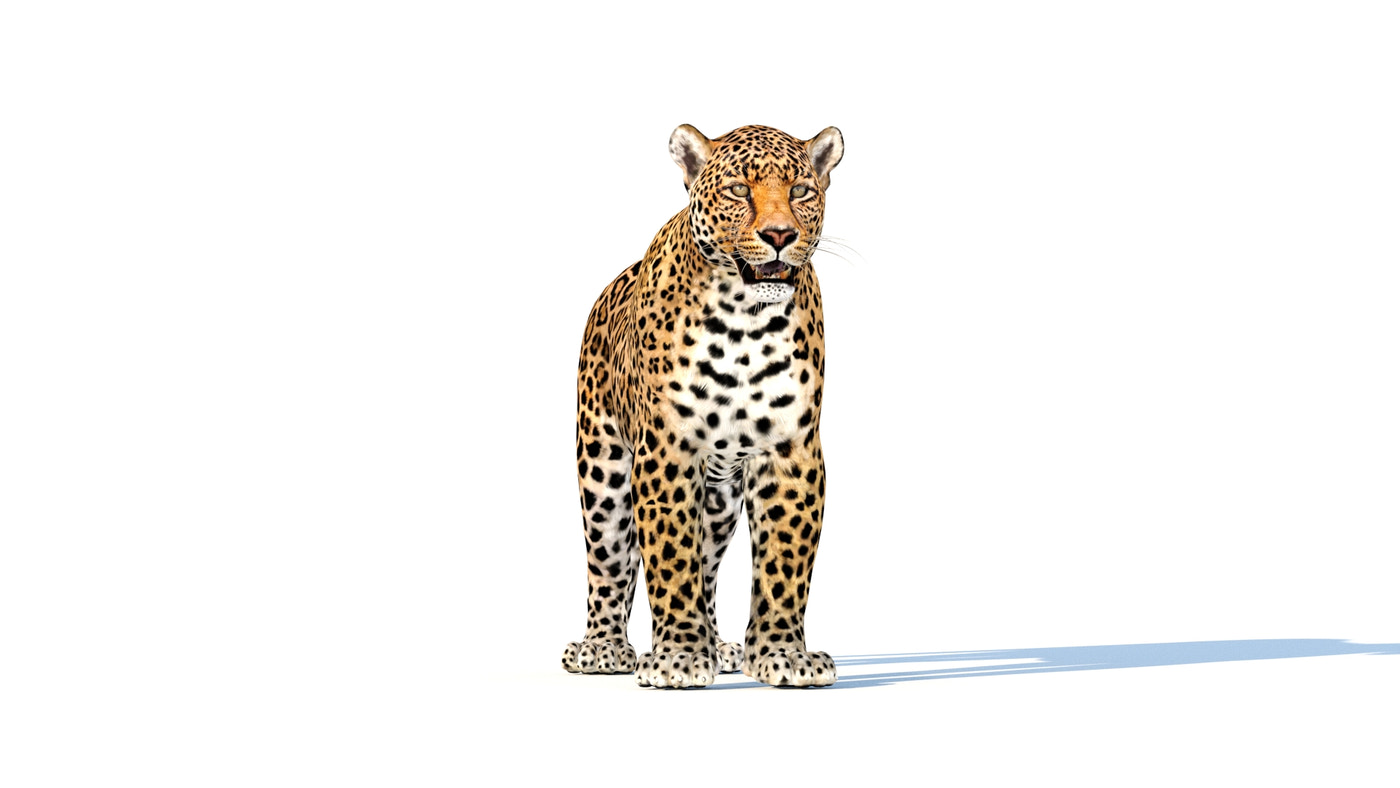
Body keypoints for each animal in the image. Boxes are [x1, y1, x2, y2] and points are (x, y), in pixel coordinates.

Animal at [562, 124, 844, 688]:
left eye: (802, 190)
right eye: (738, 189)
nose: (780, 235)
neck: (745, 322)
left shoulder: (792, 450)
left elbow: (785, 561)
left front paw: (782, 655)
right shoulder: (667, 451)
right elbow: (670, 559)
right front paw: (678, 658)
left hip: (719, 498)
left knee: (708, 565)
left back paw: (719, 647)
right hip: (602, 469)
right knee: (608, 562)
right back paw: (603, 649)